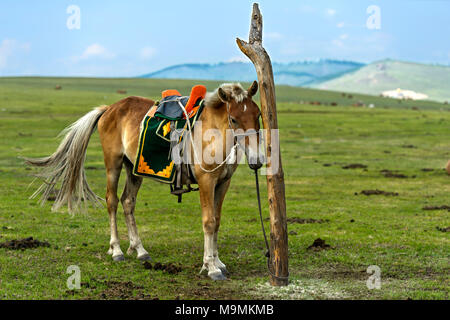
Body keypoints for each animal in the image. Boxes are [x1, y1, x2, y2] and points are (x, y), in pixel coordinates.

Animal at [25, 82, 264, 280]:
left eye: (258, 114)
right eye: (233, 119)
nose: (257, 160)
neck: (213, 134)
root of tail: (109, 109)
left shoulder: (223, 183)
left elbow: (217, 221)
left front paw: (218, 262)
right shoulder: (206, 181)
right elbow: (209, 222)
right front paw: (211, 267)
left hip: (134, 169)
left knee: (128, 202)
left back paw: (139, 250)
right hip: (113, 164)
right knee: (112, 201)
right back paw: (117, 250)